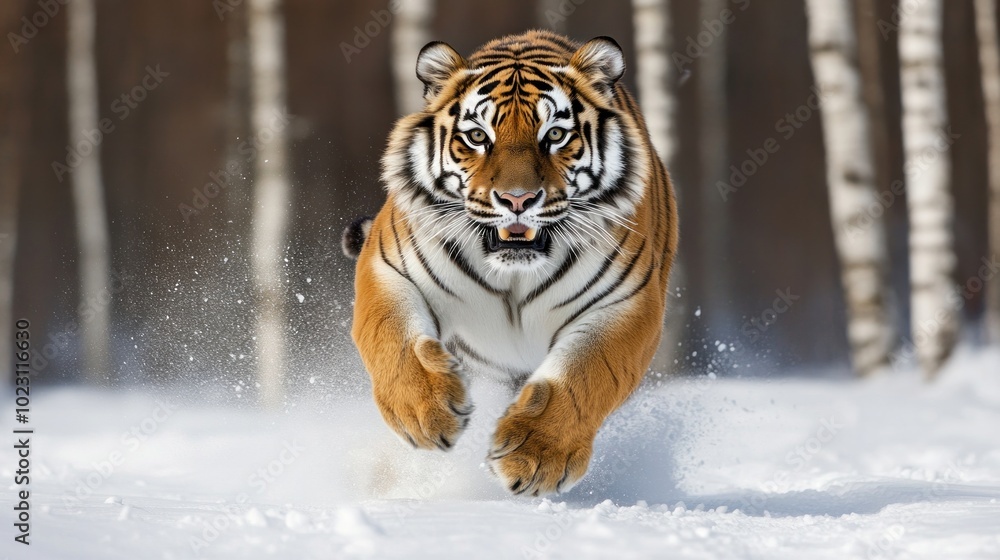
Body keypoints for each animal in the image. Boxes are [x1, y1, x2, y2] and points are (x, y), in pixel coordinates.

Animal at [343, 30, 678, 496]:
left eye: (554, 135)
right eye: (477, 136)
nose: (517, 200)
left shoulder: (626, 304)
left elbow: (583, 375)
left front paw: (535, 458)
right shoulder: (388, 267)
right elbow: (394, 340)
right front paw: (427, 414)